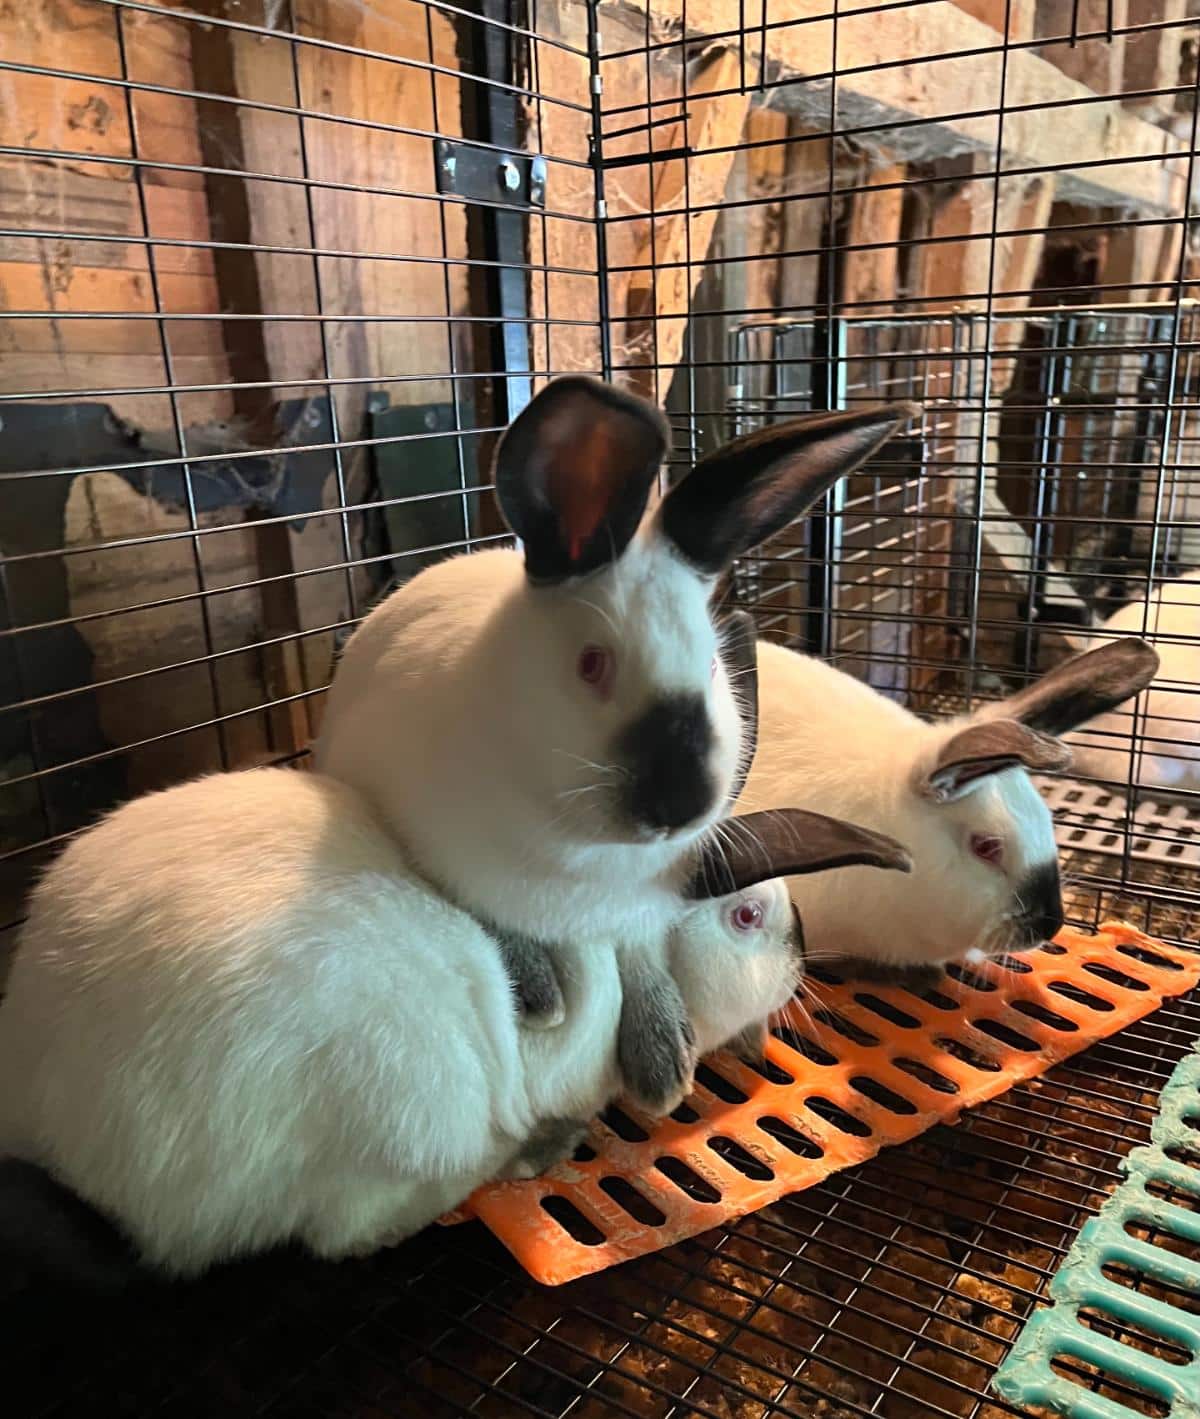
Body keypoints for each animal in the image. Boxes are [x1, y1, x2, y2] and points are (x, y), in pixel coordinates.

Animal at [0, 764, 910, 1281]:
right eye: (749, 916)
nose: (801, 954)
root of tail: (55, 1135)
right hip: (398, 1110)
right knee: (349, 1233)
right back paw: (510, 1157)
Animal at [314, 375, 916, 1109]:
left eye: (714, 664)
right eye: (592, 664)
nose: (679, 806)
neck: (586, 859)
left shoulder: (642, 912)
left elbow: (642, 958)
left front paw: (663, 1056)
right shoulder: (442, 858)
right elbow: (494, 920)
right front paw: (539, 992)